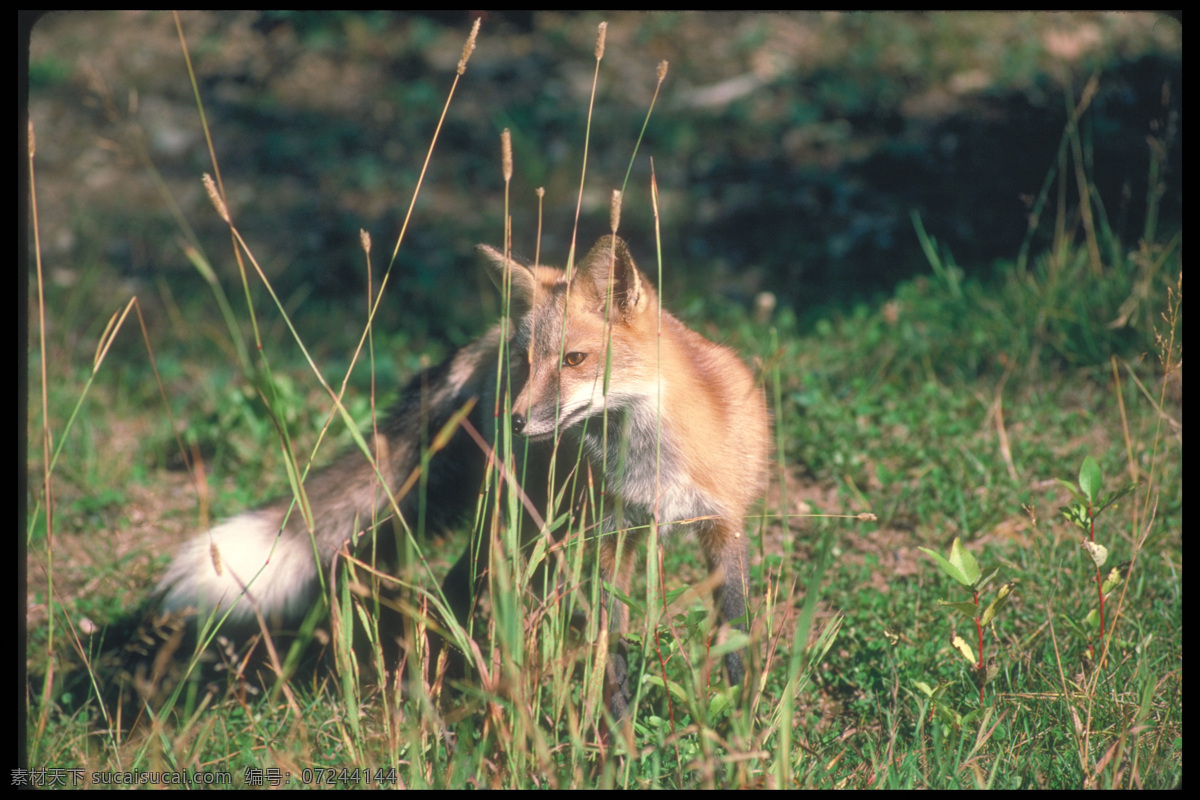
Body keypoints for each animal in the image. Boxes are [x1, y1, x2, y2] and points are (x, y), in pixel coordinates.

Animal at [154, 235, 768, 724]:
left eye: (574, 359)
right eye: (530, 361)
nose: (517, 420)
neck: (650, 464)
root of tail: (489, 339)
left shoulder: (724, 525)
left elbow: (736, 634)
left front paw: (742, 726)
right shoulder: (609, 541)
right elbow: (609, 651)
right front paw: (620, 737)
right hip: (514, 526)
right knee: (458, 589)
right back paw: (441, 688)